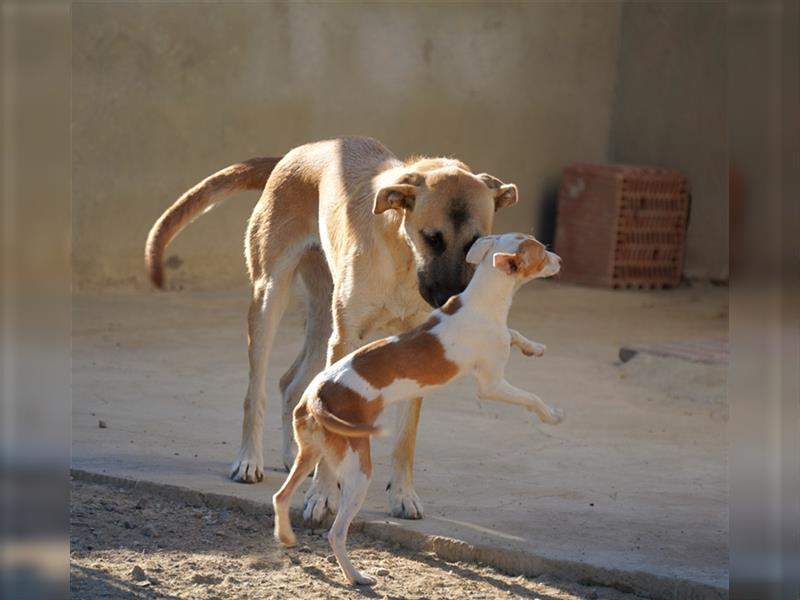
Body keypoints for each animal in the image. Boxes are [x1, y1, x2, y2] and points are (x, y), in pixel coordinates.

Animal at [144, 134, 520, 524]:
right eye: (432, 238)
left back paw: (296, 456)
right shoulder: (346, 338)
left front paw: (403, 495)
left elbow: (406, 437)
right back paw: (249, 461)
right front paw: (322, 497)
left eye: (475, 242)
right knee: (256, 391)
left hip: (323, 320)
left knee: (290, 383)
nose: (450, 299)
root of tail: (295, 153)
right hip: (271, 299)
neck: (401, 257)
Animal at [274, 232, 564, 584]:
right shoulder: (492, 385)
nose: (560, 260)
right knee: (336, 532)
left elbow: (513, 333)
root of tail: (316, 397)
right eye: (541, 253)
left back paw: (286, 538)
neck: (481, 301)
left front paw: (533, 347)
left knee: (281, 496)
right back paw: (357, 576)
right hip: (357, 470)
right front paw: (551, 414)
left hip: (309, 453)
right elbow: (529, 397)